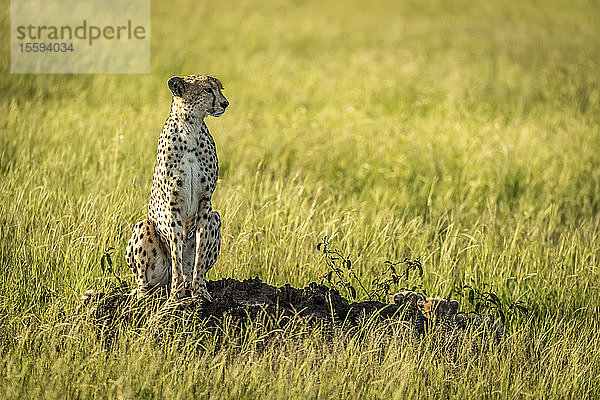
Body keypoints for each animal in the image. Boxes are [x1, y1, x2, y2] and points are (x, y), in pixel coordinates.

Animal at [125, 75, 229, 300]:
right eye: (207, 90)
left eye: (220, 88)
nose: (225, 103)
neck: (191, 129)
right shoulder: (173, 204)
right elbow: (176, 251)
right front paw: (176, 295)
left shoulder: (205, 203)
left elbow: (200, 251)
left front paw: (200, 293)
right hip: (144, 227)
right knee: (145, 281)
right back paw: (145, 295)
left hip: (215, 217)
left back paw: (189, 283)